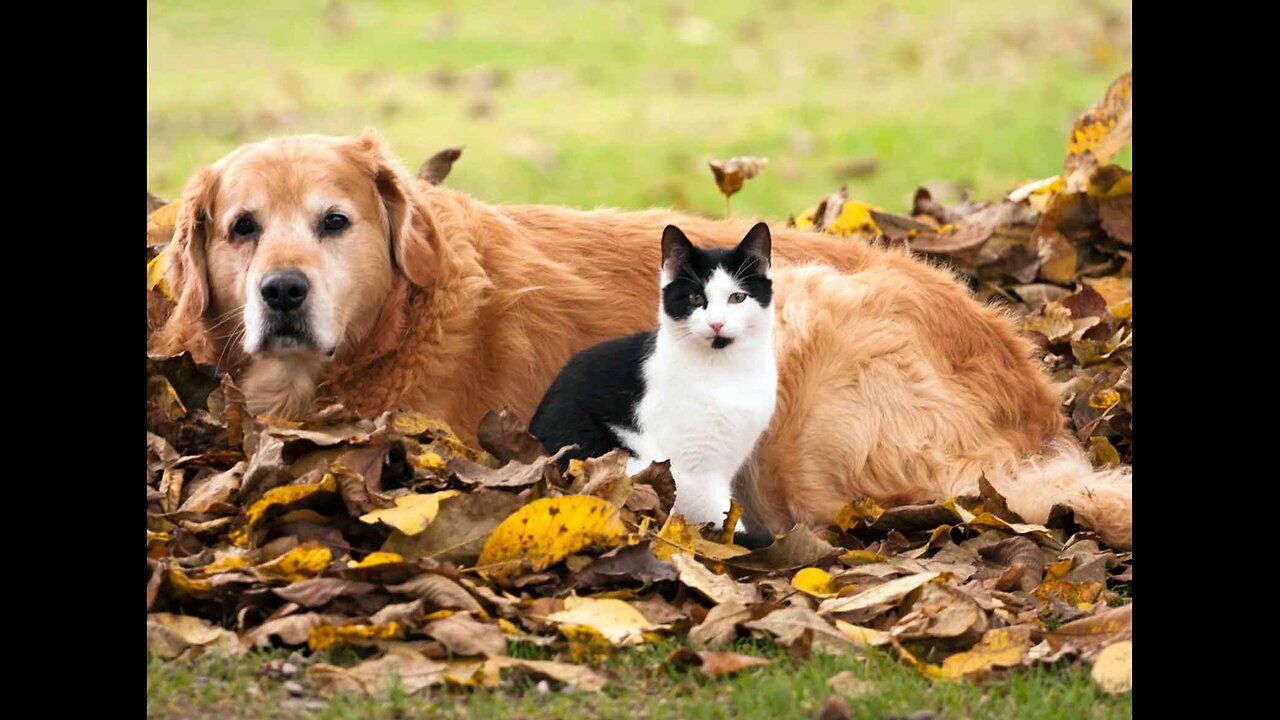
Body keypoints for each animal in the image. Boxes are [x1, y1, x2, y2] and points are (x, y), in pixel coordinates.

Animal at [532, 221, 778, 530]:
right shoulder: (692, 472)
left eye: (737, 297)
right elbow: (721, 518)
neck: (725, 369)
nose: (717, 323)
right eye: (696, 297)